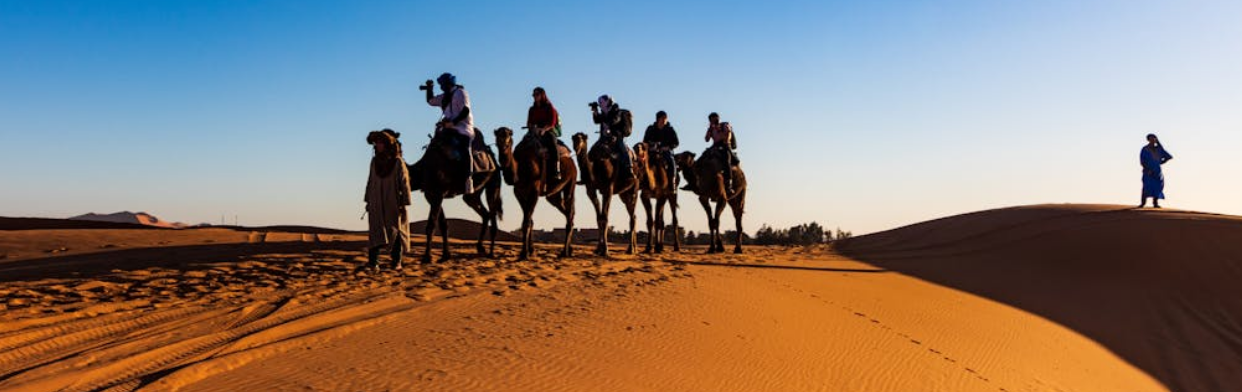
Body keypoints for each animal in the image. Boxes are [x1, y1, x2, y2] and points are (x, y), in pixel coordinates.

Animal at [409, 129, 501, 262]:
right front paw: (445, 255)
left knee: (492, 213)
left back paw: (491, 253)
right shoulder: (431, 195)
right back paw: (480, 247)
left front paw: (427, 257)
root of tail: (493, 159)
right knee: (483, 212)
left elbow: (431, 225)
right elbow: (443, 225)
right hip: (473, 193)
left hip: (493, 183)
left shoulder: (437, 193)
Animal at [489, 127, 576, 259]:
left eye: (509, 137)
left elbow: (526, 222)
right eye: (497, 138)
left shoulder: (534, 191)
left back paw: (564, 252)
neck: (520, 168)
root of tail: (571, 161)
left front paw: (524, 253)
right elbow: (529, 221)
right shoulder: (519, 193)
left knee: (570, 212)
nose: (503, 145)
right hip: (553, 195)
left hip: (570, 184)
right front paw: (531, 250)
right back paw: (569, 250)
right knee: (567, 213)